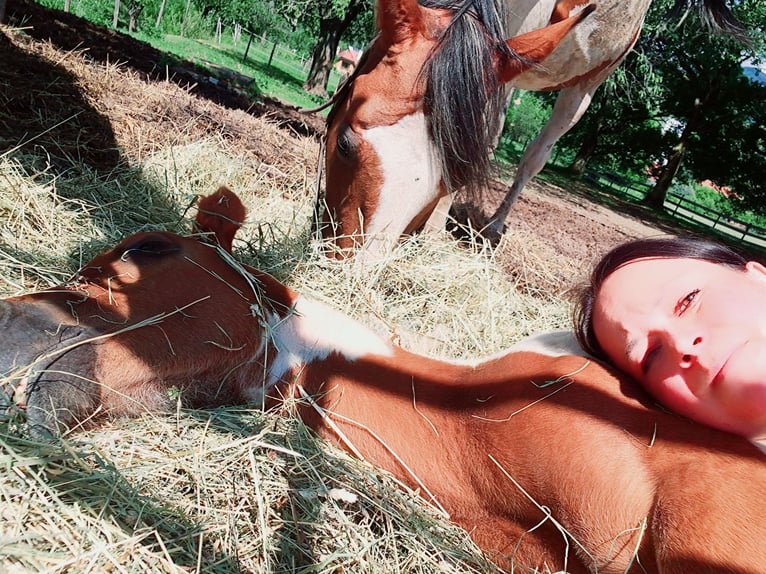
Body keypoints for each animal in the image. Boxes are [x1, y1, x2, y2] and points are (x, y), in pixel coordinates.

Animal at [320, 0, 748, 254]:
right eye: (344, 144)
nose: (351, 261)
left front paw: (434, 229)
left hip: (582, 88)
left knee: (533, 156)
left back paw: (492, 226)